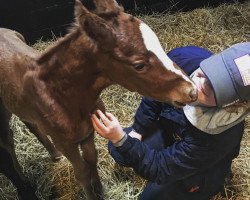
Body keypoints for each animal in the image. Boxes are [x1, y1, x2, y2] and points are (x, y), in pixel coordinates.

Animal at [0, 0, 197, 199]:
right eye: (139, 65)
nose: (191, 91)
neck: (63, 97)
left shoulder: (88, 133)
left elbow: (92, 159)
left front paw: (99, 190)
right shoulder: (65, 143)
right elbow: (82, 172)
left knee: (31, 125)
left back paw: (54, 155)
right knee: (8, 139)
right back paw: (22, 179)